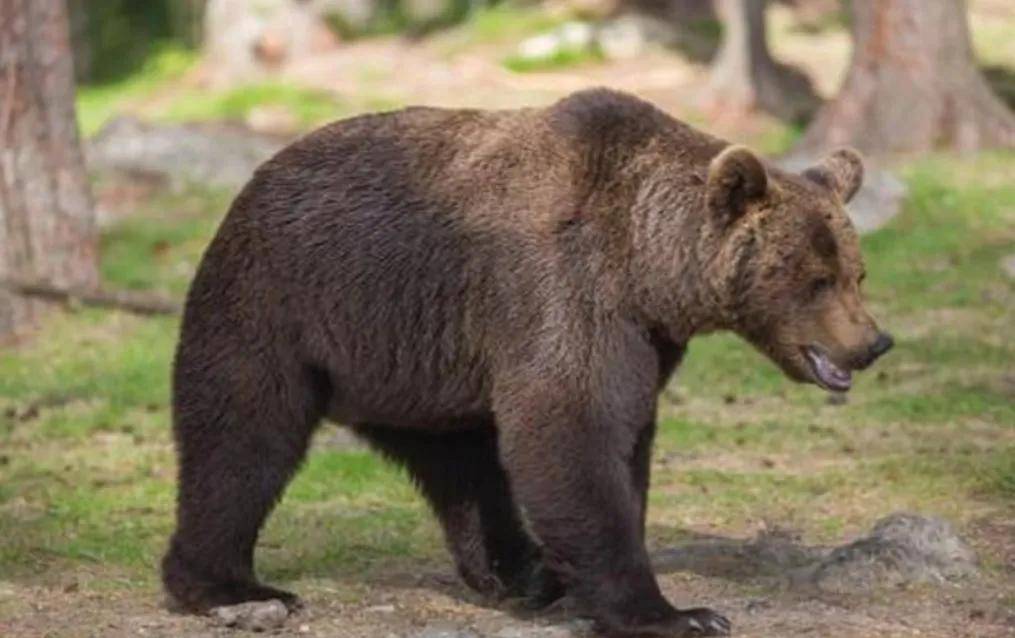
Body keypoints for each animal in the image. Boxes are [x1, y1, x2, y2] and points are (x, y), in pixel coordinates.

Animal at [162, 88, 893, 637]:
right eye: (815, 279)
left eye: (855, 272)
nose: (871, 343)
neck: (647, 268)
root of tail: (255, 179)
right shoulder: (563, 291)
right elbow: (571, 433)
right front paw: (676, 612)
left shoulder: (644, 337)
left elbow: (623, 439)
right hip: (283, 305)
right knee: (244, 438)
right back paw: (232, 587)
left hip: (420, 365)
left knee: (463, 465)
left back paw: (519, 572)